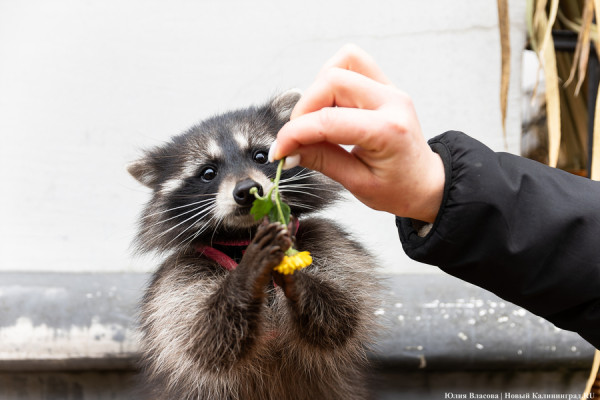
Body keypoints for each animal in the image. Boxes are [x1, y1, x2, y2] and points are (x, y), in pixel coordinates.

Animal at [127, 90, 380, 400]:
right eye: (208, 173)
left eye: (260, 156)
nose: (247, 190)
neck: (244, 234)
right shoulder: (181, 275)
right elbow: (204, 338)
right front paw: (247, 274)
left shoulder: (327, 242)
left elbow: (342, 315)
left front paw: (295, 275)